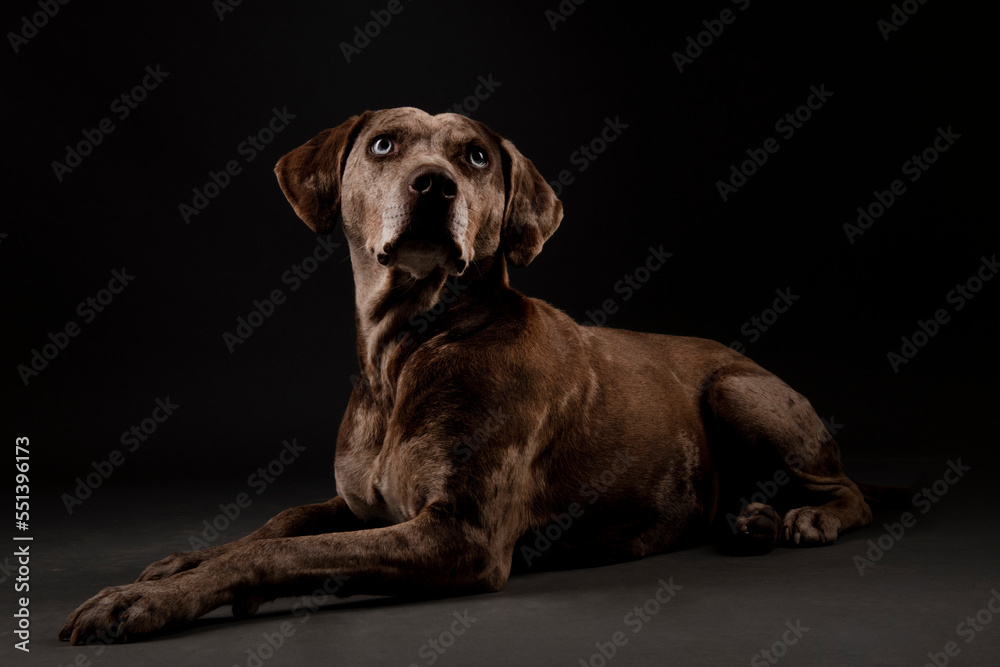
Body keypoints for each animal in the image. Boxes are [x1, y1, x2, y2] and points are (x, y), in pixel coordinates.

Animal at [58, 107, 872, 644]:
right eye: (383, 144)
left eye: (477, 157)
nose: (433, 185)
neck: (410, 350)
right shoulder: (362, 502)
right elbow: (280, 523)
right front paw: (179, 564)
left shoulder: (460, 534)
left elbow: (285, 549)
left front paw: (148, 602)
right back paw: (752, 518)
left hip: (738, 390)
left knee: (851, 492)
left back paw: (807, 517)